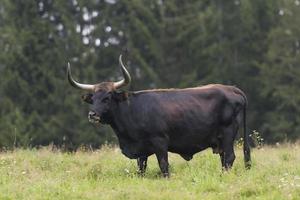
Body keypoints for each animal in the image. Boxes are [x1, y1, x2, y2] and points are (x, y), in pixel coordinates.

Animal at [67, 55, 251, 178]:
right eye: (93, 99)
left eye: (107, 98)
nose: (92, 114)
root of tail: (232, 88)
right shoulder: (140, 151)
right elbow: (141, 169)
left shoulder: (160, 142)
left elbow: (164, 166)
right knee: (224, 158)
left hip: (227, 134)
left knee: (229, 157)